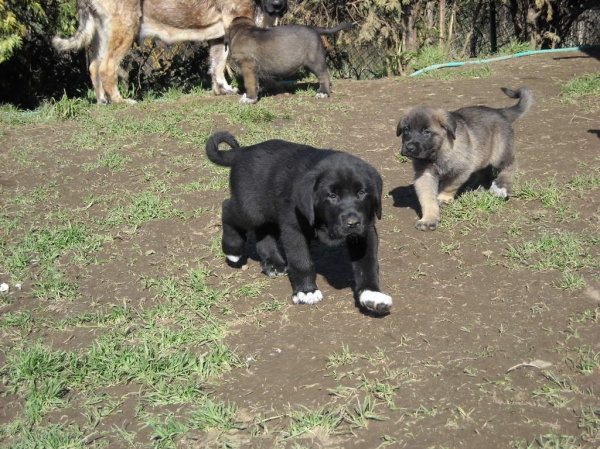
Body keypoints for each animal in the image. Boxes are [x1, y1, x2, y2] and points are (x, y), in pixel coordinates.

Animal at [52, 0, 288, 104]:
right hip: (124, 28)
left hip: (103, 34)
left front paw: (221, 89)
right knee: (107, 68)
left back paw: (103, 101)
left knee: (94, 67)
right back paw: (120, 101)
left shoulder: (219, 35)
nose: (280, 5)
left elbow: (217, 64)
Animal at [206, 130, 394, 314]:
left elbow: (367, 263)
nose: (353, 223)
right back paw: (232, 249)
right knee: (228, 208)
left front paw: (372, 294)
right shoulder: (294, 229)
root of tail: (244, 151)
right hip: (251, 208)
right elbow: (301, 261)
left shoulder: (365, 231)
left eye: (362, 192)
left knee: (264, 233)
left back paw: (273, 263)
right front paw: (306, 291)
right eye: (332, 196)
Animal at [226, 17, 356, 103]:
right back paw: (328, 88)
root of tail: (314, 28)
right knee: (326, 72)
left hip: (314, 60)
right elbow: (258, 80)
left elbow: (250, 82)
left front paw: (249, 98)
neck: (241, 30)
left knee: (323, 74)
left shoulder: (247, 64)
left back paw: (323, 92)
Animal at [396, 86, 532, 231]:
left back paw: (502, 186)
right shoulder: (424, 175)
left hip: (499, 152)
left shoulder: (462, 170)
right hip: (481, 153)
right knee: (485, 170)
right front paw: (428, 219)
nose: (409, 147)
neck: (437, 153)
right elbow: (427, 199)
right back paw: (478, 186)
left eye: (426, 132)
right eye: (406, 130)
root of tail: (499, 112)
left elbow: (449, 185)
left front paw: (443, 198)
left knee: (511, 164)